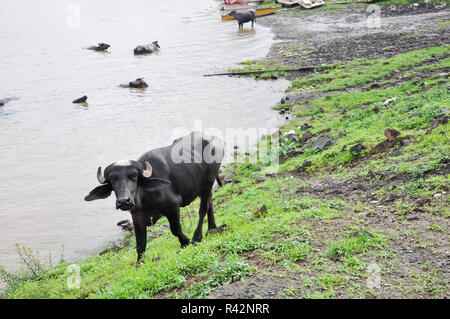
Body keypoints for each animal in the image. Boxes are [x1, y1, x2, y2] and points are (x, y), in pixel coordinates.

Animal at [84, 133, 223, 264]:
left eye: (134, 176)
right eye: (112, 179)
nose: (124, 201)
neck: (144, 199)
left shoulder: (173, 206)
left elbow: (175, 230)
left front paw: (186, 242)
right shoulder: (137, 217)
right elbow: (140, 244)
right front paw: (139, 264)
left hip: (208, 182)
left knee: (203, 209)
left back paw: (197, 237)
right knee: (210, 204)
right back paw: (212, 228)